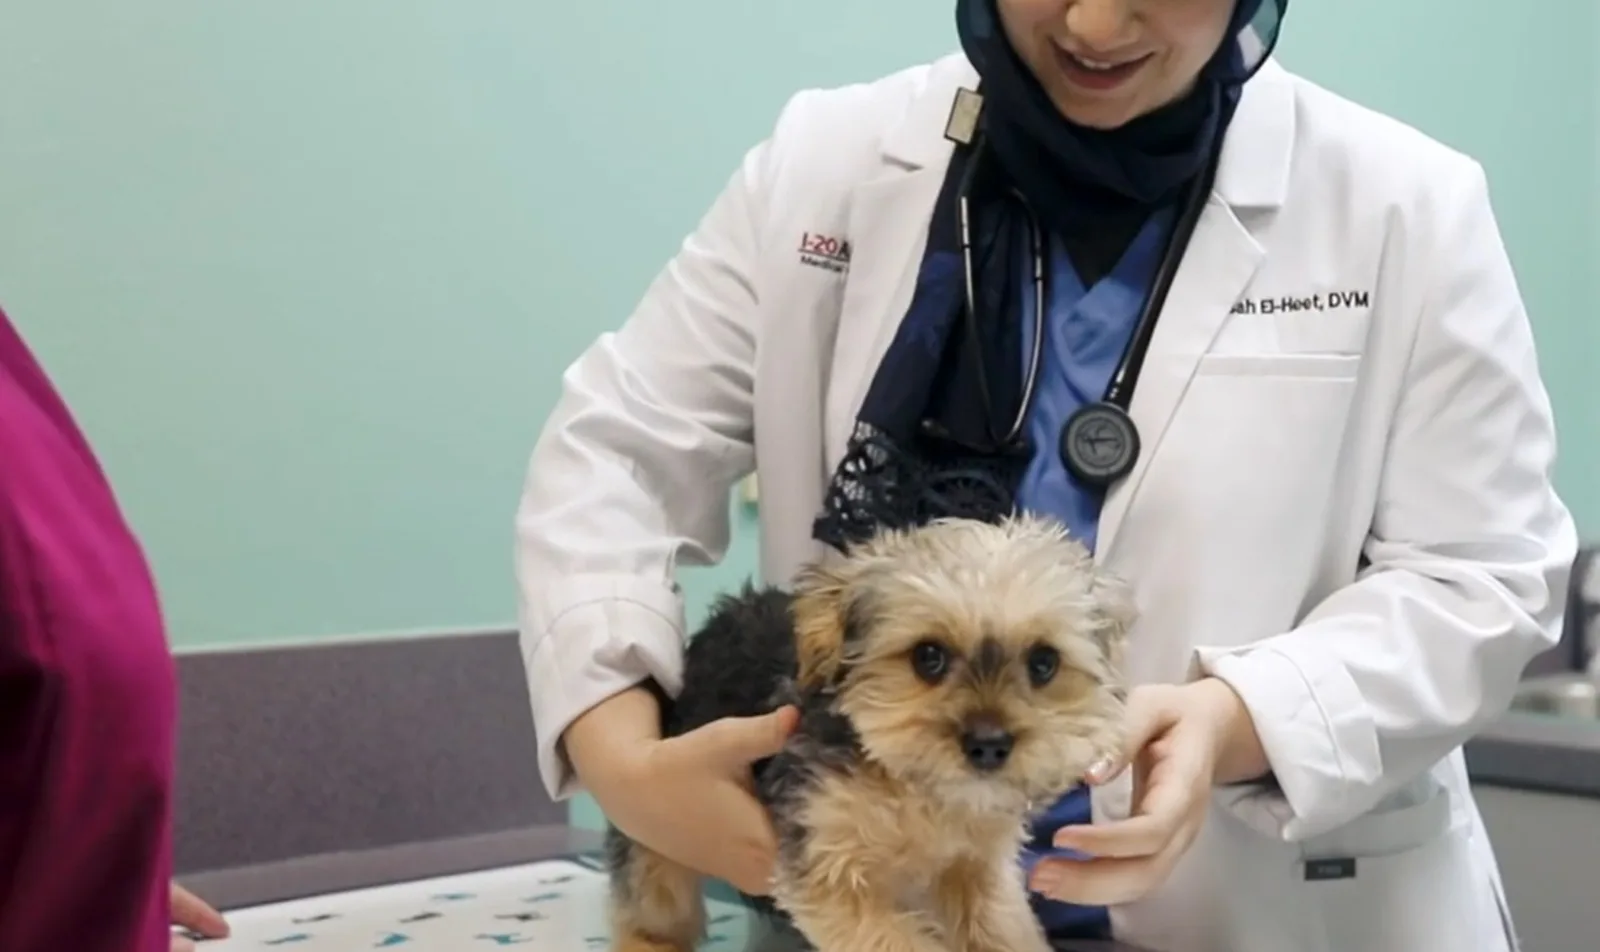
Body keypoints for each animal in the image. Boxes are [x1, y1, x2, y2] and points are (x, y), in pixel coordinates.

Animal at [601, 518, 1139, 952]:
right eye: (928, 657)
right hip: (660, 817)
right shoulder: (827, 863)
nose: (989, 744)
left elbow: (1001, 928)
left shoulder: (977, 867)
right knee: (653, 889)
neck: (915, 786)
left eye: (1044, 663)